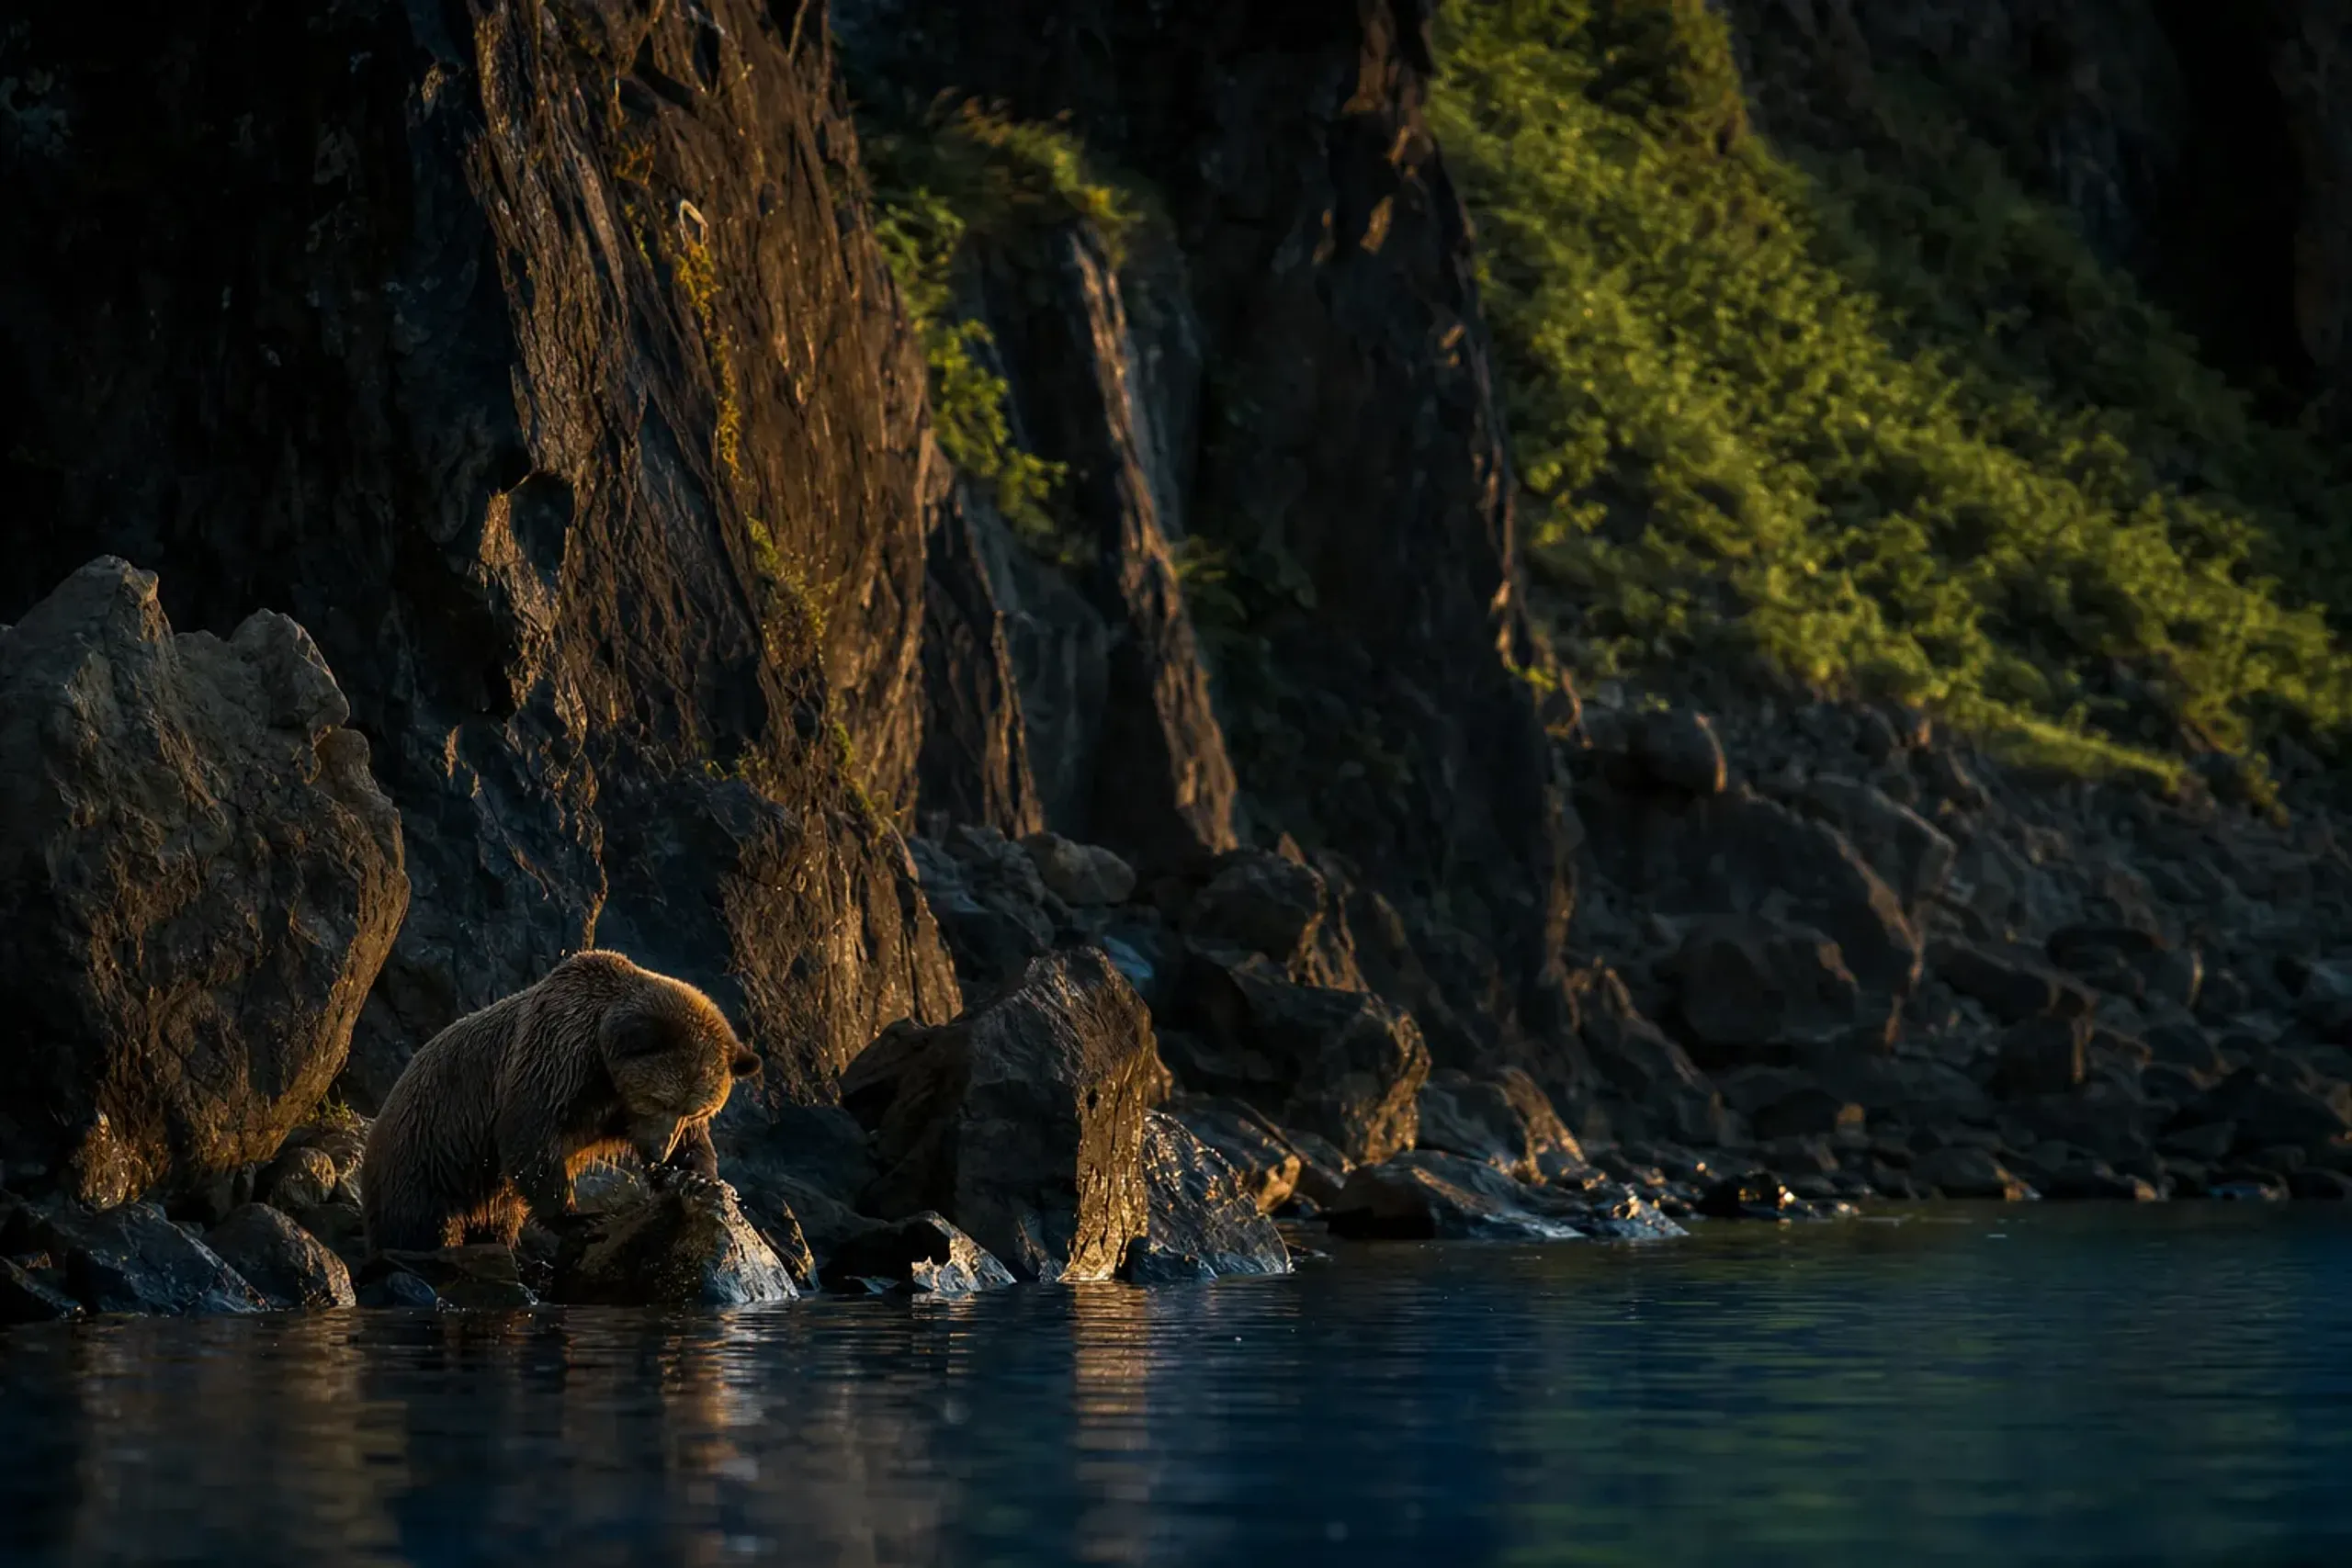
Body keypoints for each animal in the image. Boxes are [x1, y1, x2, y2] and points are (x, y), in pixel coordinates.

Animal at [360, 949, 762, 1254]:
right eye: (659, 1099)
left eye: (695, 1110)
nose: (659, 1152)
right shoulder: (556, 1059)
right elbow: (530, 1136)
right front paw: (581, 1218)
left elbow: (696, 1145)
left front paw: (697, 1177)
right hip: (427, 1155)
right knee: (419, 1224)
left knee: (495, 1221)